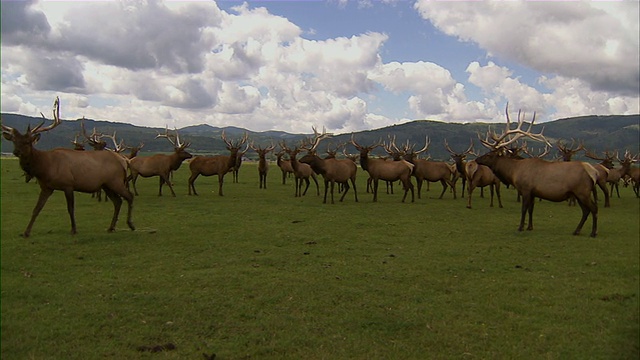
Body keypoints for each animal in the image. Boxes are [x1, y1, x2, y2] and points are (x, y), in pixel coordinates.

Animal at [0, 97, 134, 236]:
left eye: (27, 142)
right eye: (14, 141)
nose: (16, 152)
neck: (46, 168)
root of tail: (124, 161)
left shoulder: (68, 184)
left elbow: (70, 208)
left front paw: (74, 229)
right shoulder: (46, 187)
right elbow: (36, 208)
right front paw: (26, 232)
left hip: (116, 180)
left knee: (129, 196)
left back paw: (130, 224)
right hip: (106, 184)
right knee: (118, 201)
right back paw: (111, 227)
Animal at [476, 105, 600, 238]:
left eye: (489, 155)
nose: (476, 159)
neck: (513, 172)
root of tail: (593, 172)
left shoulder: (526, 189)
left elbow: (524, 209)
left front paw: (520, 227)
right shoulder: (533, 193)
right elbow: (531, 209)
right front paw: (530, 227)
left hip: (583, 191)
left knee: (593, 208)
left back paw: (593, 232)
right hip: (578, 194)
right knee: (586, 210)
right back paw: (576, 231)